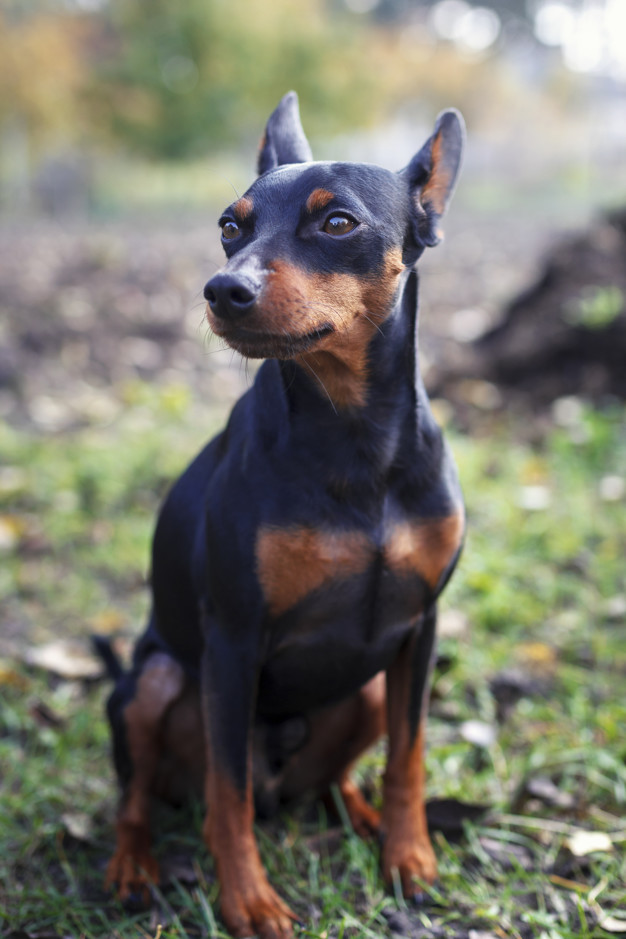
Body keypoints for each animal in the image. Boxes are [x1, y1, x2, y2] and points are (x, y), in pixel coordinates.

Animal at [102, 90, 464, 939]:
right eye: (229, 225)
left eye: (337, 223)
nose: (221, 289)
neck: (355, 437)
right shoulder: (234, 641)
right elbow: (227, 797)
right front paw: (248, 901)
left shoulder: (420, 626)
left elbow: (409, 754)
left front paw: (410, 855)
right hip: (154, 679)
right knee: (147, 796)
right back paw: (132, 865)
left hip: (368, 687)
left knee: (332, 778)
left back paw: (362, 816)